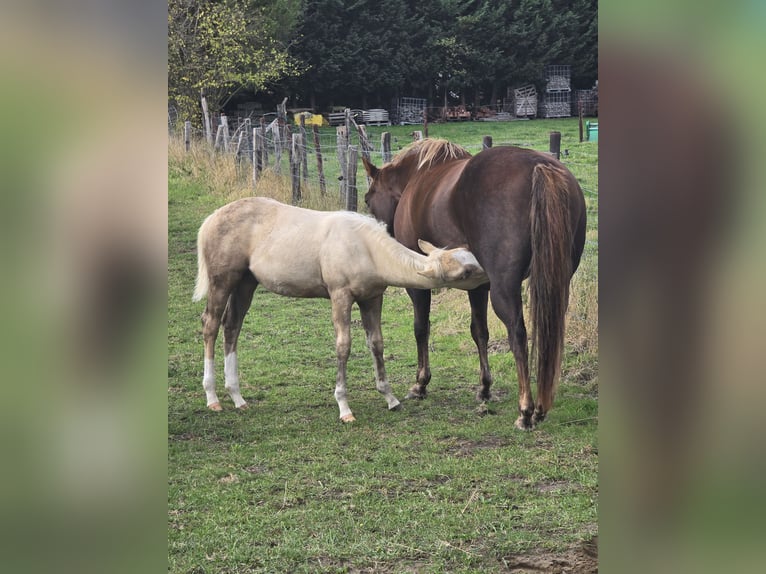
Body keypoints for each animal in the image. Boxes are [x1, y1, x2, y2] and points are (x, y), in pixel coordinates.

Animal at [193, 196, 488, 422]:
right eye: (466, 271)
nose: (489, 277)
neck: (365, 248)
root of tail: (210, 220)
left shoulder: (372, 298)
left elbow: (376, 343)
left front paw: (390, 397)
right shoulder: (340, 296)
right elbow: (343, 346)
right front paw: (344, 407)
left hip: (246, 283)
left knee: (232, 326)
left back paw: (237, 397)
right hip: (223, 281)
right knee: (211, 325)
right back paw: (213, 397)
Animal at [362, 139, 586, 429]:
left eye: (367, 199)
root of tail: (539, 165)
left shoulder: (420, 284)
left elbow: (421, 328)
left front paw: (420, 383)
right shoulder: (478, 287)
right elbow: (479, 331)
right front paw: (484, 388)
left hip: (505, 289)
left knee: (517, 334)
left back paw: (526, 410)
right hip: (558, 285)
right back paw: (540, 407)